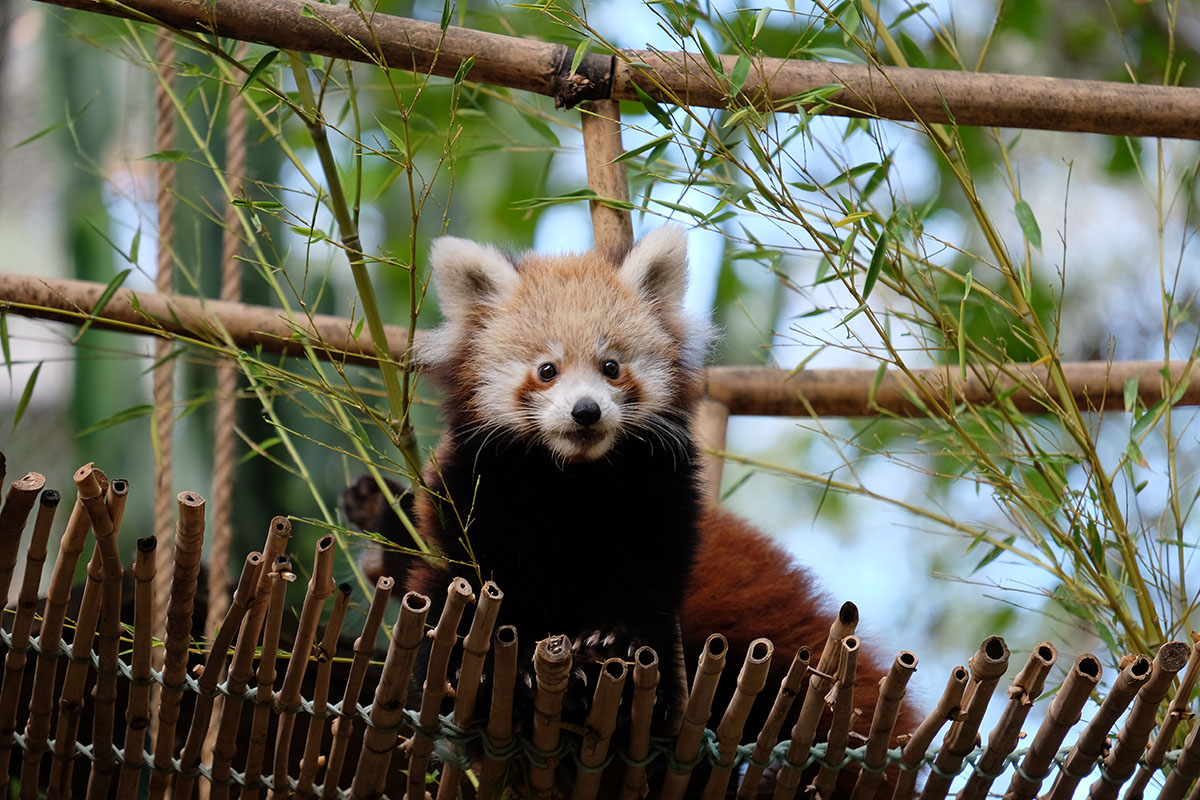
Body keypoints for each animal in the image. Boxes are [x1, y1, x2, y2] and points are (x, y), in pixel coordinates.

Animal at [350, 226, 916, 800]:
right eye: (547, 370)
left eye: (611, 367)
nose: (586, 411)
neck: (572, 480)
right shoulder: (477, 493)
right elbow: (471, 584)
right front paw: (499, 666)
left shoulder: (659, 499)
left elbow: (647, 580)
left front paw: (612, 642)